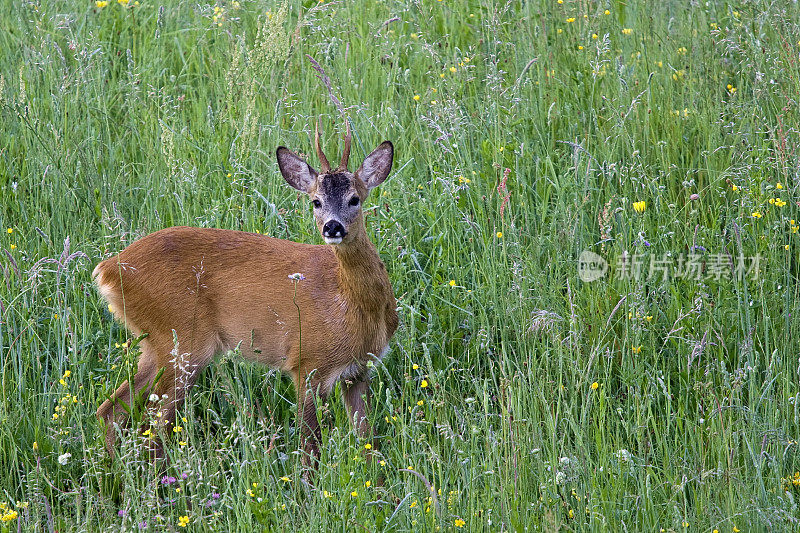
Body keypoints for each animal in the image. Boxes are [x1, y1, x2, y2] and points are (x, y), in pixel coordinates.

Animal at [92, 122, 398, 464]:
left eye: (355, 198)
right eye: (316, 202)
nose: (333, 227)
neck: (350, 305)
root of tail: (107, 269)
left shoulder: (358, 371)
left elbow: (368, 440)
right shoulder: (307, 362)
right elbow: (310, 447)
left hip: (155, 344)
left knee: (112, 410)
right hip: (184, 340)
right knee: (154, 425)